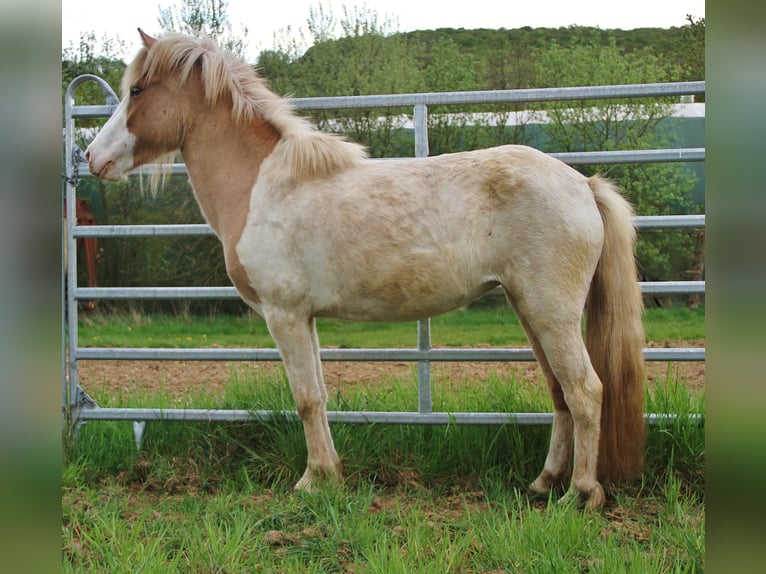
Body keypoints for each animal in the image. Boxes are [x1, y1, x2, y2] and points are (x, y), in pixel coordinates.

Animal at [85, 29, 646, 509]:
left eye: (137, 89)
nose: (91, 157)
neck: (264, 183)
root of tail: (582, 184)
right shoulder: (305, 318)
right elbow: (319, 395)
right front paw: (330, 474)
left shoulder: (285, 315)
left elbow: (305, 398)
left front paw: (311, 481)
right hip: (529, 310)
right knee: (559, 394)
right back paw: (543, 483)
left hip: (551, 313)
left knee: (585, 391)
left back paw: (579, 494)